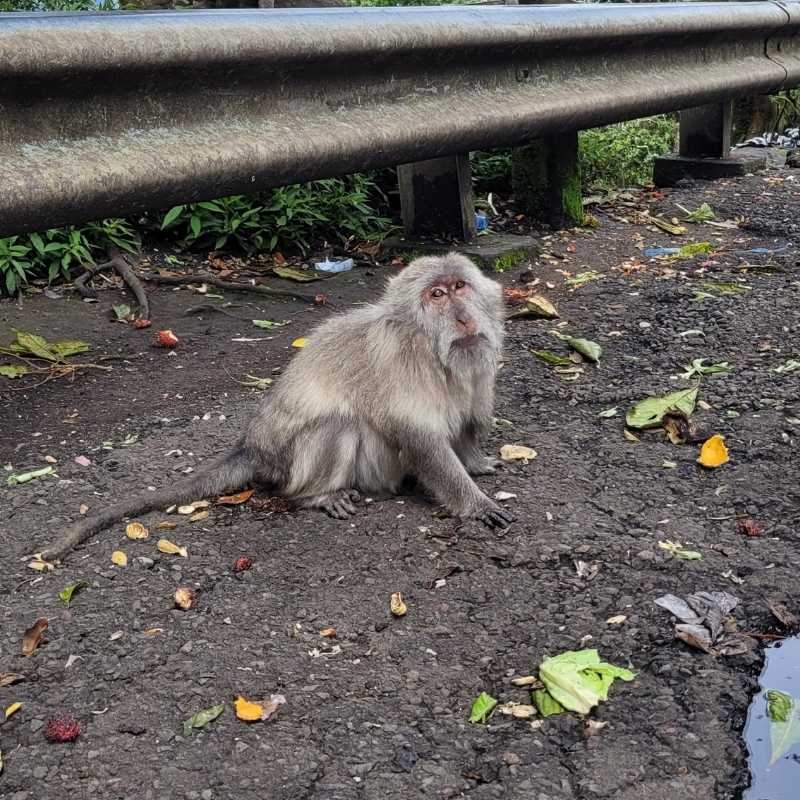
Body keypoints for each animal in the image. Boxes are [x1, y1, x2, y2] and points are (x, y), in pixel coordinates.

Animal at [40, 253, 513, 562]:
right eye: (437, 294)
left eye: (460, 287)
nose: (463, 317)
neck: (433, 350)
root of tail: (254, 446)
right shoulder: (401, 362)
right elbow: (419, 438)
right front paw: (474, 503)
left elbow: (468, 418)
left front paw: (475, 461)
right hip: (294, 462)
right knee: (337, 424)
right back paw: (317, 495)